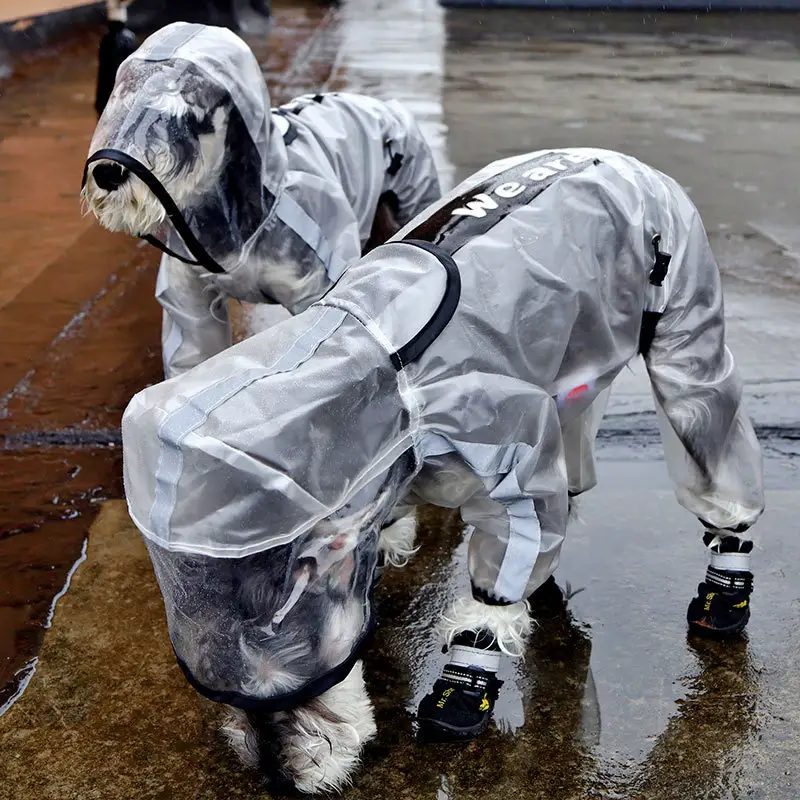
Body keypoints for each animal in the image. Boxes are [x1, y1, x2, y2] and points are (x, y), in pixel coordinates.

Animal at [122, 150, 764, 792]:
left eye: (295, 668)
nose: (277, 778)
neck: (381, 394)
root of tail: (618, 159)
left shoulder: (511, 449)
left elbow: (498, 579)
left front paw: (464, 680)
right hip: (574, 363)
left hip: (685, 333)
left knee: (711, 440)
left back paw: (725, 577)